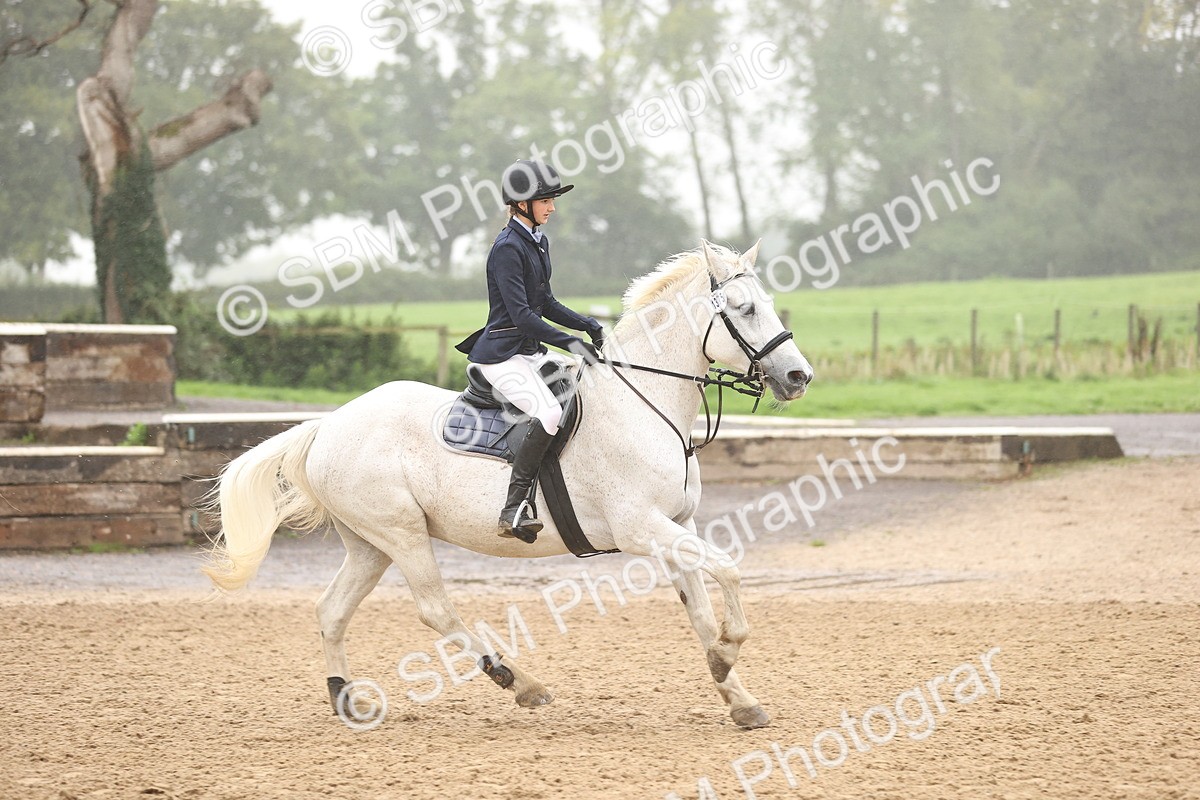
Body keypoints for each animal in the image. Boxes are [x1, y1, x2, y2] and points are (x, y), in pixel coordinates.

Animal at [203, 240, 814, 729]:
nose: (798, 377)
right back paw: (520, 682)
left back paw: (346, 700)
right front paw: (729, 653)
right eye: (745, 309)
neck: (646, 403)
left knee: (331, 610)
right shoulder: (641, 528)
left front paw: (738, 695)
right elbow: (730, 572)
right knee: (435, 609)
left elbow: (701, 612)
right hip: (401, 534)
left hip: (369, 544)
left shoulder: (675, 526)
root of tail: (327, 425)